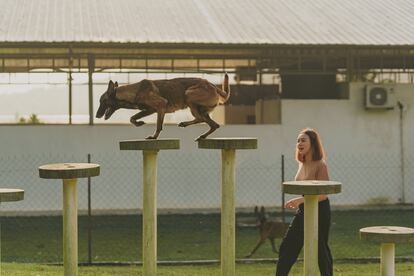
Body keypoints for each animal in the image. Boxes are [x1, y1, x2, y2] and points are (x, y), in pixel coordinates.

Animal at [95, 74, 230, 140]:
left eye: (103, 101)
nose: (96, 115)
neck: (135, 91)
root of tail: (213, 86)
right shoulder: (151, 110)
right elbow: (132, 118)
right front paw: (139, 123)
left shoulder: (160, 106)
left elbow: (158, 126)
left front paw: (153, 137)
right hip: (200, 108)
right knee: (213, 124)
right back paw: (200, 135)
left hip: (189, 95)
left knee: (202, 119)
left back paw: (187, 125)